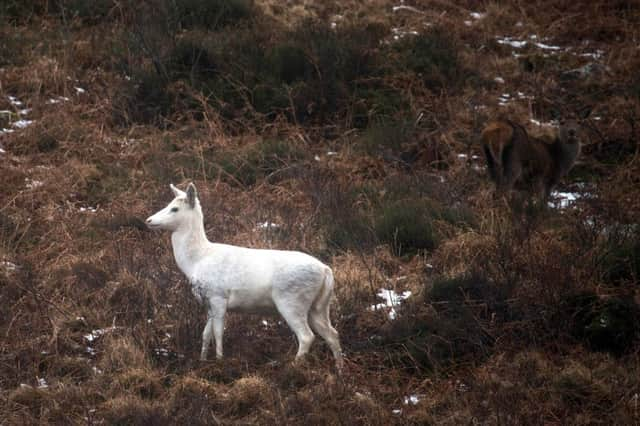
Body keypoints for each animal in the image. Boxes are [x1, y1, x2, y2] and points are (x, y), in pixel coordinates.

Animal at [146, 181, 344, 372]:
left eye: (174, 208)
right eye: (168, 204)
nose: (148, 220)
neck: (196, 261)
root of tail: (326, 271)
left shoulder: (218, 296)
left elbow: (218, 333)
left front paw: (220, 362)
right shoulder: (208, 302)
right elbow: (205, 334)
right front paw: (202, 361)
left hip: (292, 300)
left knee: (307, 336)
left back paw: (293, 368)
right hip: (319, 305)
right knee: (332, 334)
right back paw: (340, 370)